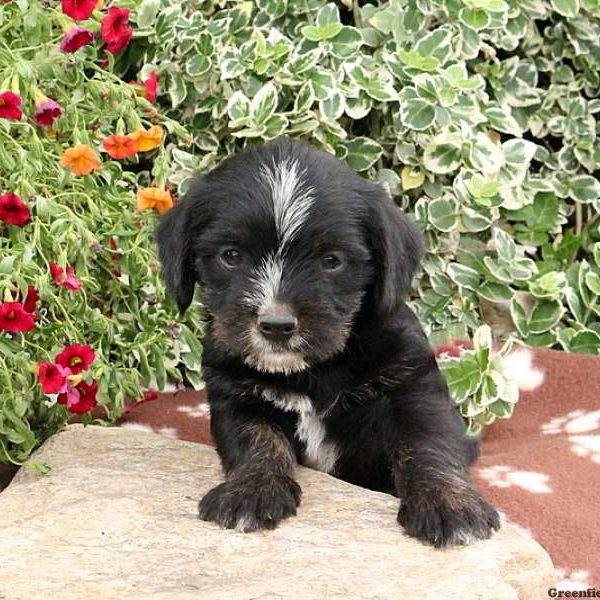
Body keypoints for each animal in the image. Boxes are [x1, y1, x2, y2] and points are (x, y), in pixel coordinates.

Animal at [157, 137, 500, 548]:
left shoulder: (411, 387)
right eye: (231, 256)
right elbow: (256, 441)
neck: (311, 372)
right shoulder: (236, 394)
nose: (276, 325)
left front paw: (449, 503)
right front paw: (250, 491)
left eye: (332, 261)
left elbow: (427, 445)